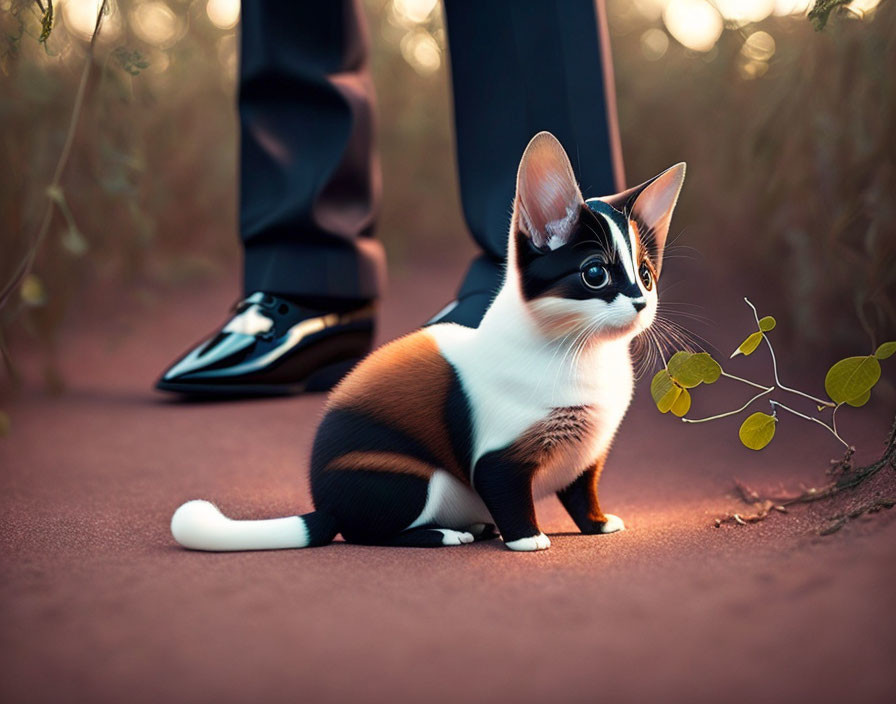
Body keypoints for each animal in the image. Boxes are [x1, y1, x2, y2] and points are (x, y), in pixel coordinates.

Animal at [172, 131, 684, 552]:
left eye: (646, 275)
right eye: (595, 274)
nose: (641, 302)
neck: (584, 355)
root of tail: (325, 506)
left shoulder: (587, 457)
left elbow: (581, 494)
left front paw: (597, 524)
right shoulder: (496, 458)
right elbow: (509, 494)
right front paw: (527, 538)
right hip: (409, 479)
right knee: (366, 532)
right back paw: (445, 533)